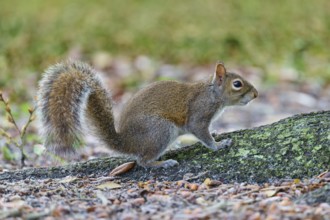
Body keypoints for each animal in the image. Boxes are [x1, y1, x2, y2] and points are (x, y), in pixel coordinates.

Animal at [36, 60, 258, 168]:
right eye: (237, 84)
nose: (256, 94)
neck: (212, 93)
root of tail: (125, 141)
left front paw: (218, 135)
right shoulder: (199, 113)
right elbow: (201, 132)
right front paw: (219, 145)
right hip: (160, 130)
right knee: (142, 162)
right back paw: (162, 163)